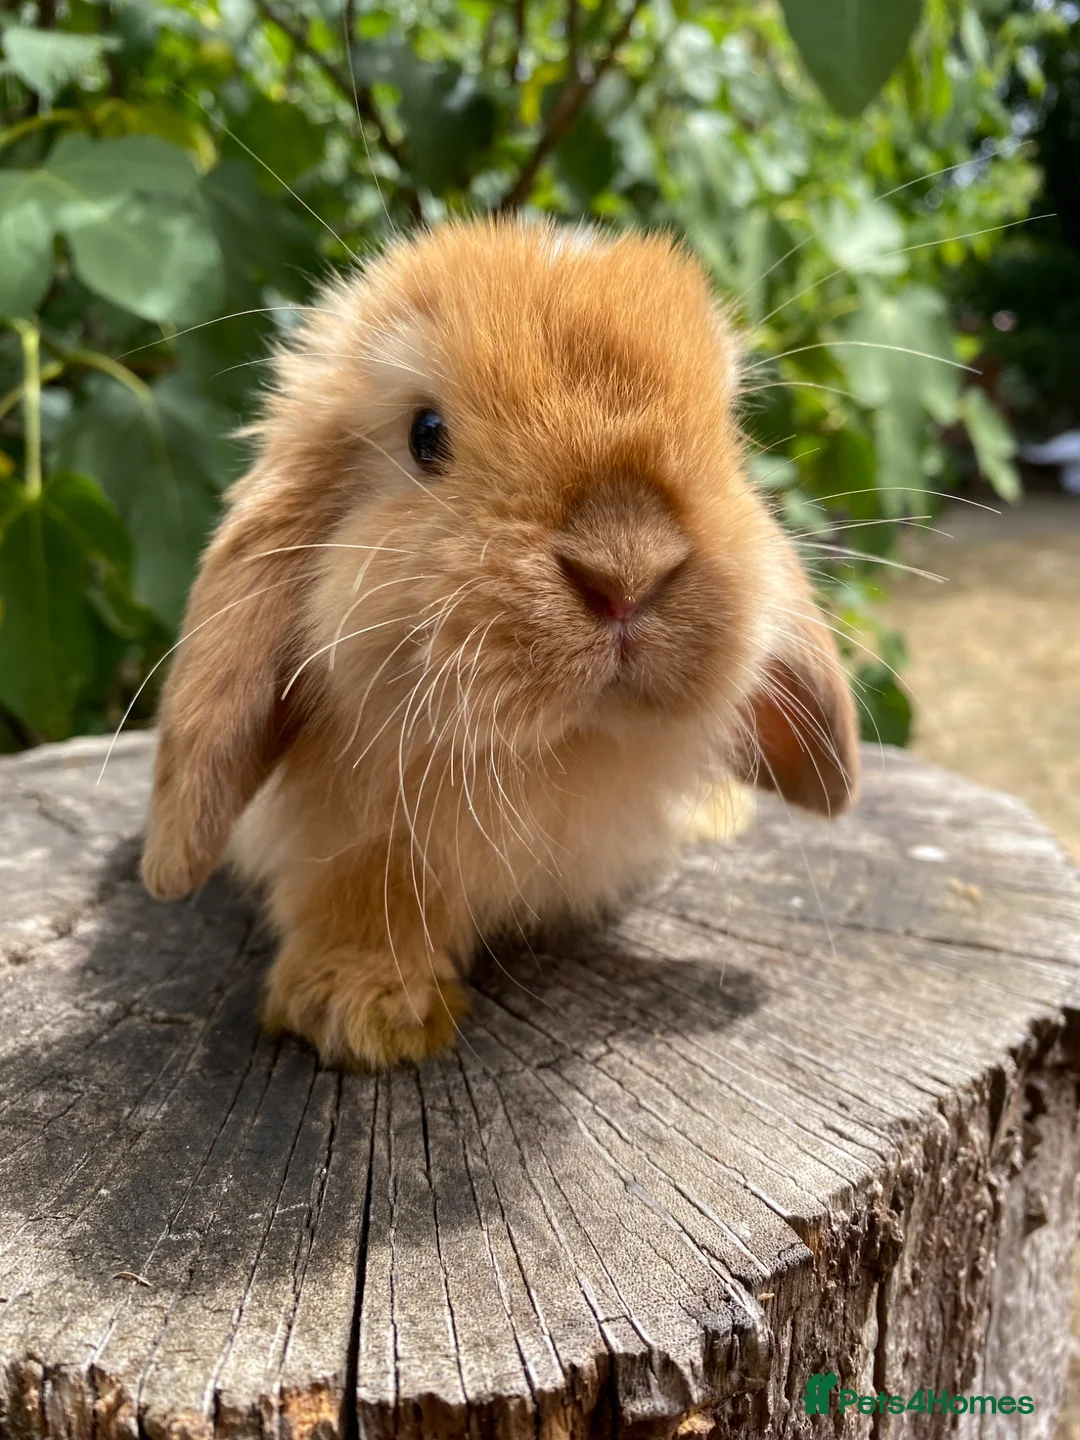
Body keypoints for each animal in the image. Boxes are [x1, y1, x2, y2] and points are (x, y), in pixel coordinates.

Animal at [141, 215, 859, 1070]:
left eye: (728, 435)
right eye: (426, 434)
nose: (627, 568)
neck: (554, 756)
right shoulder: (361, 833)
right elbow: (369, 887)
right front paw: (359, 1011)